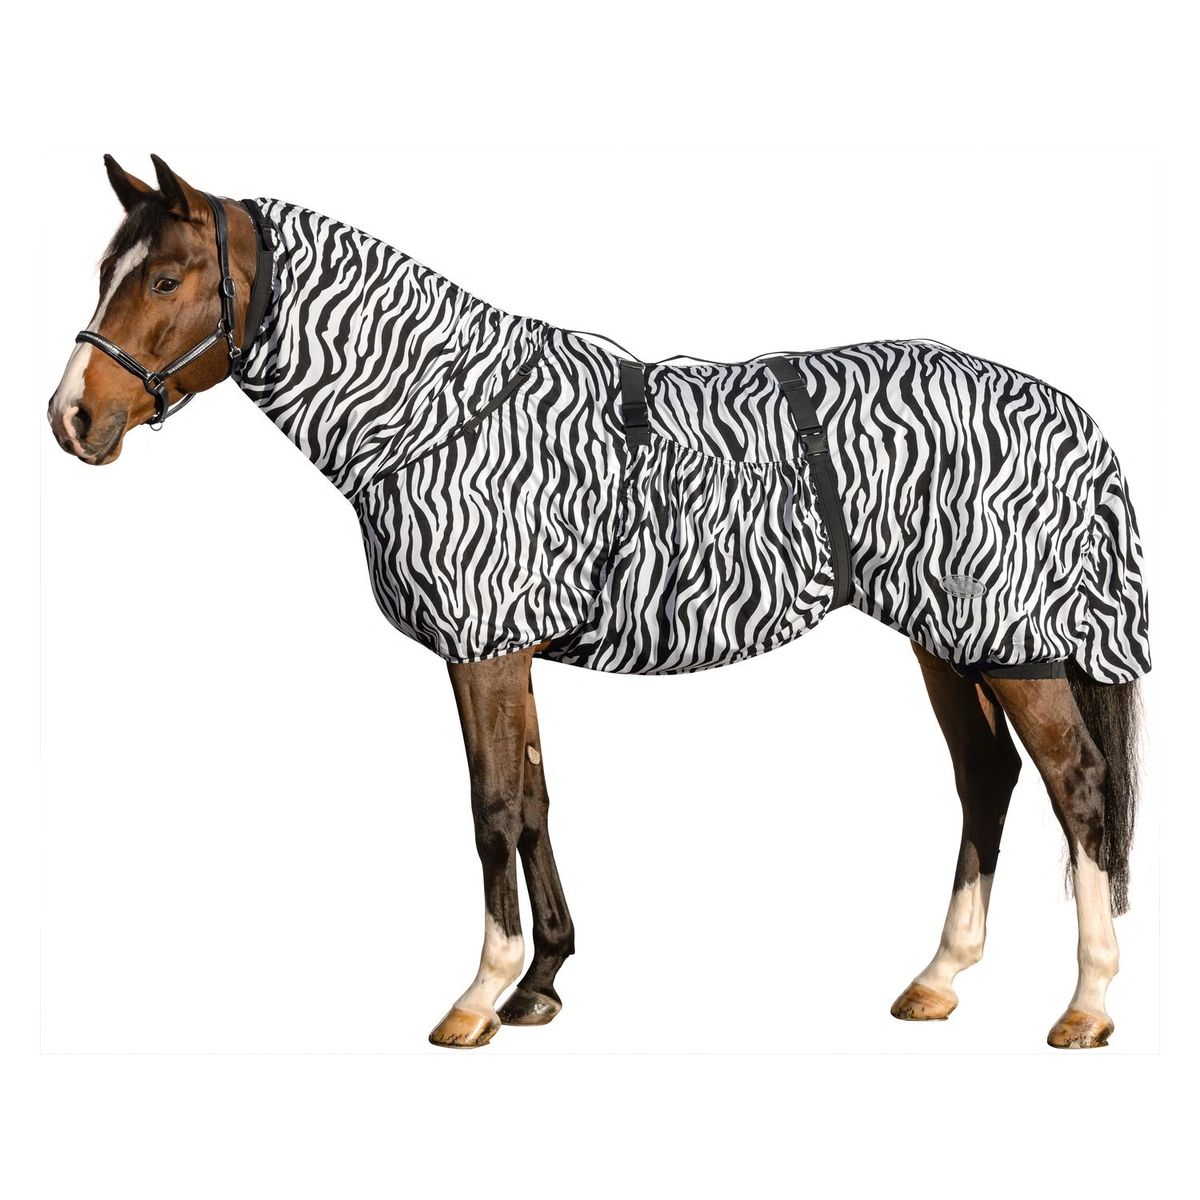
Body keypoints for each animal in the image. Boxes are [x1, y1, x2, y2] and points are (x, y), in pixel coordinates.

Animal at [47, 155, 1149, 1049]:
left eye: (167, 278)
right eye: (108, 270)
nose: (72, 417)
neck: (446, 414)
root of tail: (1069, 413)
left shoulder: (482, 646)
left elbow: (493, 807)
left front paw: (479, 996)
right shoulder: (511, 650)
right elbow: (535, 802)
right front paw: (540, 982)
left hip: (1008, 644)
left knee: (1078, 788)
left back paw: (1088, 1005)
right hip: (949, 640)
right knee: (987, 779)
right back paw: (939, 979)